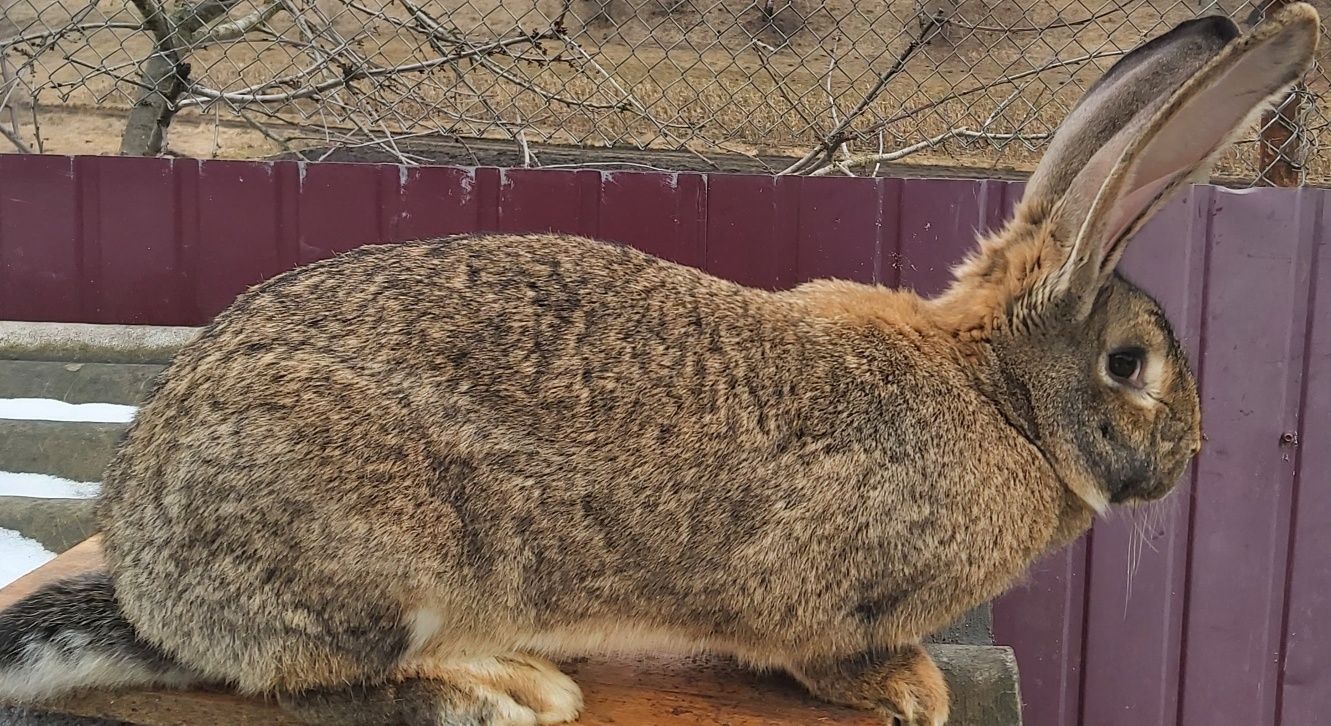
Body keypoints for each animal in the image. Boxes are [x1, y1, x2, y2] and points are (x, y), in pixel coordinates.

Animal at [0, 7, 1320, 724]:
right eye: (1128, 364)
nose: (1188, 456)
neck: (993, 391)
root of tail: (153, 577)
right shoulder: (828, 590)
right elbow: (825, 657)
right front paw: (910, 691)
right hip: (375, 543)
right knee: (323, 682)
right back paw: (500, 689)